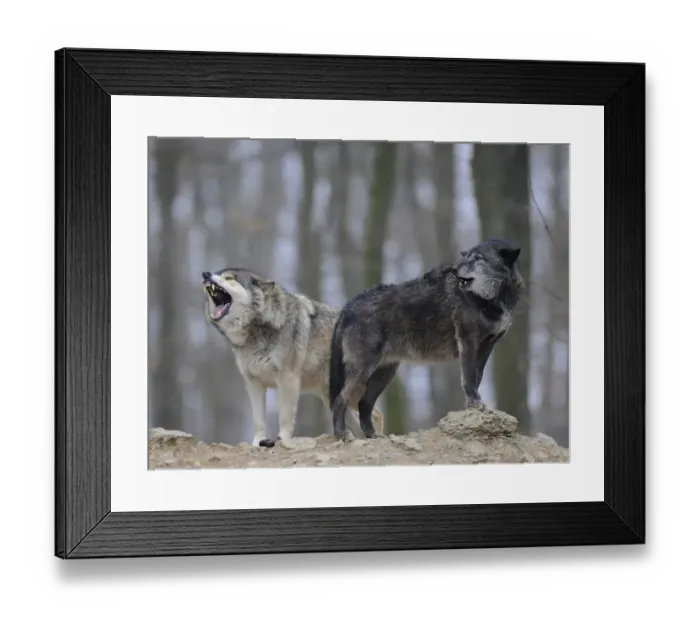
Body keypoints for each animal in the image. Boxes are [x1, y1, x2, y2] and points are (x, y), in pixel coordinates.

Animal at [201, 267, 384, 448]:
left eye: (229, 278)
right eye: (217, 274)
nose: (205, 274)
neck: (259, 328)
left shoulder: (287, 379)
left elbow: (284, 416)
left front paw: (282, 440)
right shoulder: (253, 384)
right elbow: (259, 421)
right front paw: (256, 444)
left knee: (377, 414)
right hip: (332, 396)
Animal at [329, 239, 524, 442]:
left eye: (479, 258)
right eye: (467, 256)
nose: (455, 269)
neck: (489, 300)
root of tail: (348, 305)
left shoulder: (487, 348)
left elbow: (477, 379)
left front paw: (471, 407)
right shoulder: (468, 343)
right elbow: (469, 379)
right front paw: (475, 404)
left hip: (384, 374)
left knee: (364, 403)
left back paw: (373, 435)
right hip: (363, 370)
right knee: (339, 400)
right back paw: (342, 434)